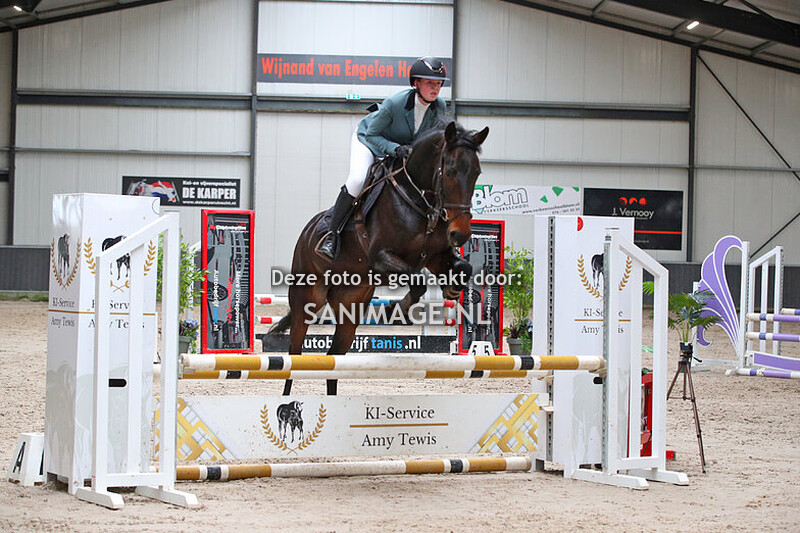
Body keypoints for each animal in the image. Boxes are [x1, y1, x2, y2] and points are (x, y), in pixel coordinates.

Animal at [268, 120, 489, 395]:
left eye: (477, 173)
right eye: (449, 171)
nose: (461, 234)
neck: (417, 201)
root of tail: (307, 231)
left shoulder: (435, 257)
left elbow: (463, 266)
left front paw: (452, 288)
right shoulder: (382, 259)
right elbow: (418, 282)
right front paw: (397, 309)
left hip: (350, 307)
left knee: (334, 358)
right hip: (307, 300)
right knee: (294, 355)